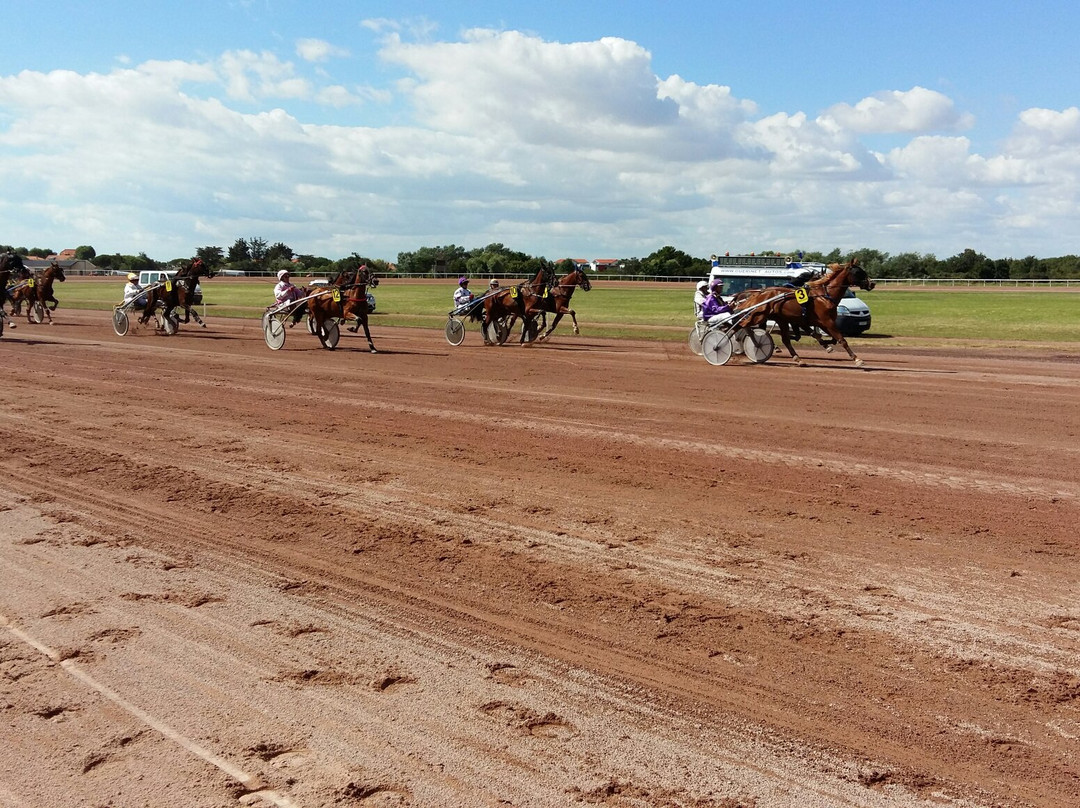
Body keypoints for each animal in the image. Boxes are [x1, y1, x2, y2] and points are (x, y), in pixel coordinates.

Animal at [734, 257, 876, 367]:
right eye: (858, 272)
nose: (872, 284)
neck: (824, 296)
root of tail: (760, 293)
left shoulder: (817, 322)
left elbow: (825, 337)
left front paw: (827, 346)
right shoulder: (826, 321)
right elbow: (841, 339)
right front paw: (857, 359)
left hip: (780, 319)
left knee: (784, 339)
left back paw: (798, 359)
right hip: (760, 315)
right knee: (742, 325)